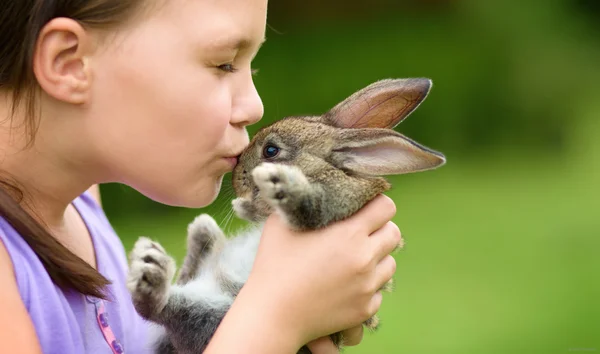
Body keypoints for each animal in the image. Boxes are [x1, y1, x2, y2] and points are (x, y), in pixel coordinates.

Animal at [126, 78, 446, 354]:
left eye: (271, 150)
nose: (237, 177)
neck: (321, 170)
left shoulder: (333, 203)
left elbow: (307, 205)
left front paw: (277, 185)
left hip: (214, 314)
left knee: (161, 308)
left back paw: (155, 269)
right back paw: (195, 238)